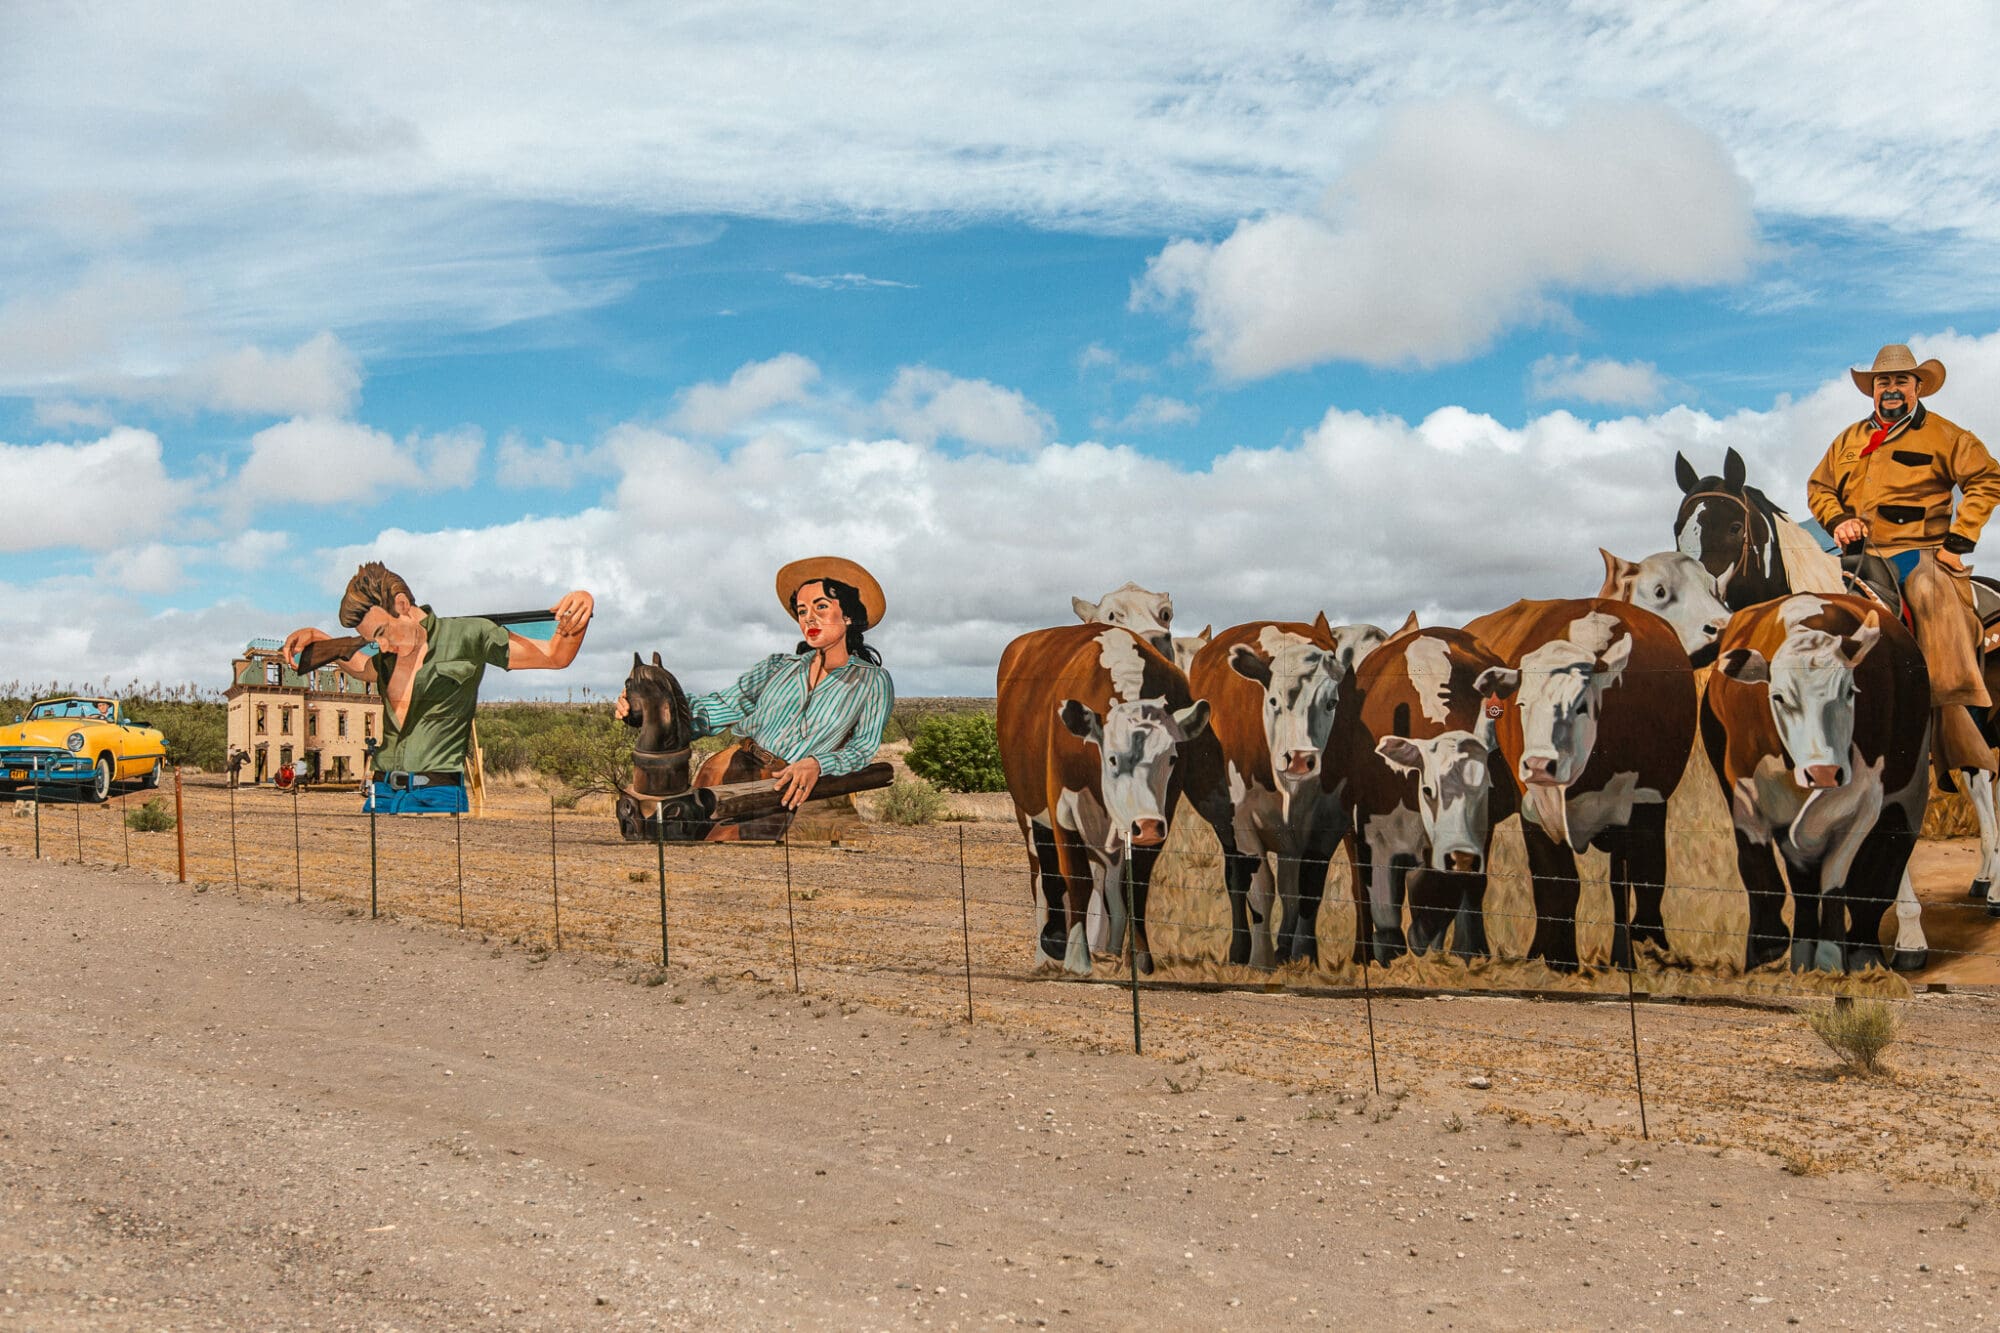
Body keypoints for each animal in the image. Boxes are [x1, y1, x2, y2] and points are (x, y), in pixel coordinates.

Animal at [996, 624, 1208, 976]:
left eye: (1171, 758)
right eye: (1110, 758)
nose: (1146, 825)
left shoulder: (1161, 812)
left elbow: (1136, 884)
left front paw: (1139, 959)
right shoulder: (1062, 810)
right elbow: (1076, 878)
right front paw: (1077, 957)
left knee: (1109, 879)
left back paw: (1108, 949)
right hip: (1026, 810)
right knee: (1041, 874)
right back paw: (1046, 956)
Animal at [1176, 612, 1384, 964]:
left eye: (1332, 702)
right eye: (1272, 700)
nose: (1299, 759)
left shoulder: (1330, 820)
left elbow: (1307, 890)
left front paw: (1304, 956)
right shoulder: (1242, 821)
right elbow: (1260, 889)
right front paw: (1261, 960)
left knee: (1290, 886)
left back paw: (1286, 948)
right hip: (1226, 825)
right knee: (1236, 880)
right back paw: (1240, 949)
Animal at [1336, 628, 1520, 960]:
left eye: (1484, 789)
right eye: (1428, 789)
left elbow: (1467, 886)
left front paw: (1470, 952)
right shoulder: (1374, 829)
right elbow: (1381, 894)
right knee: (1362, 886)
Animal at [1464, 600, 1696, 964]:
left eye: (1581, 706)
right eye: (1521, 704)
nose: (1538, 764)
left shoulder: (1648, 803)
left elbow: (1644, 878)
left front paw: (1643, 952)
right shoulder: (1536, 808)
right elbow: (1557, 883)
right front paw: (1556, 959)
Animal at [1704, 596, 1936, 972]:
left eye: (1850, 691)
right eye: (1778, 697)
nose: (1824, 773)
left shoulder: (1866, 803)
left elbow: (1836, 880)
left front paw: (1830, 958)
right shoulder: (1746, 793)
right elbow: (1763, 870)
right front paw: (1771, 948)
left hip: (1907, 795)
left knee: (1878, 875)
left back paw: (1866, 953)